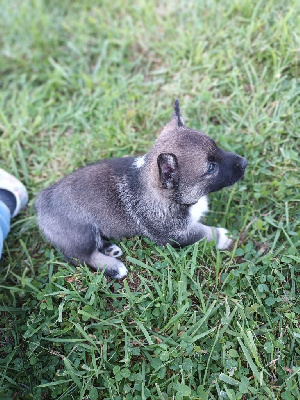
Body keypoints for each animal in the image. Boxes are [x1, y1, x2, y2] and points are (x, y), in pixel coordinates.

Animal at [35, 101, 247, 278]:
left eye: (217, 147)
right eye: (211, 167)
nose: (245, 162)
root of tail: (40, 204)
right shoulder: (177, 234)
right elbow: (205, 233)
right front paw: (224, 237)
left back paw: (110, 249)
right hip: (81, 234)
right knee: (82, 257)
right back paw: (114, 267)